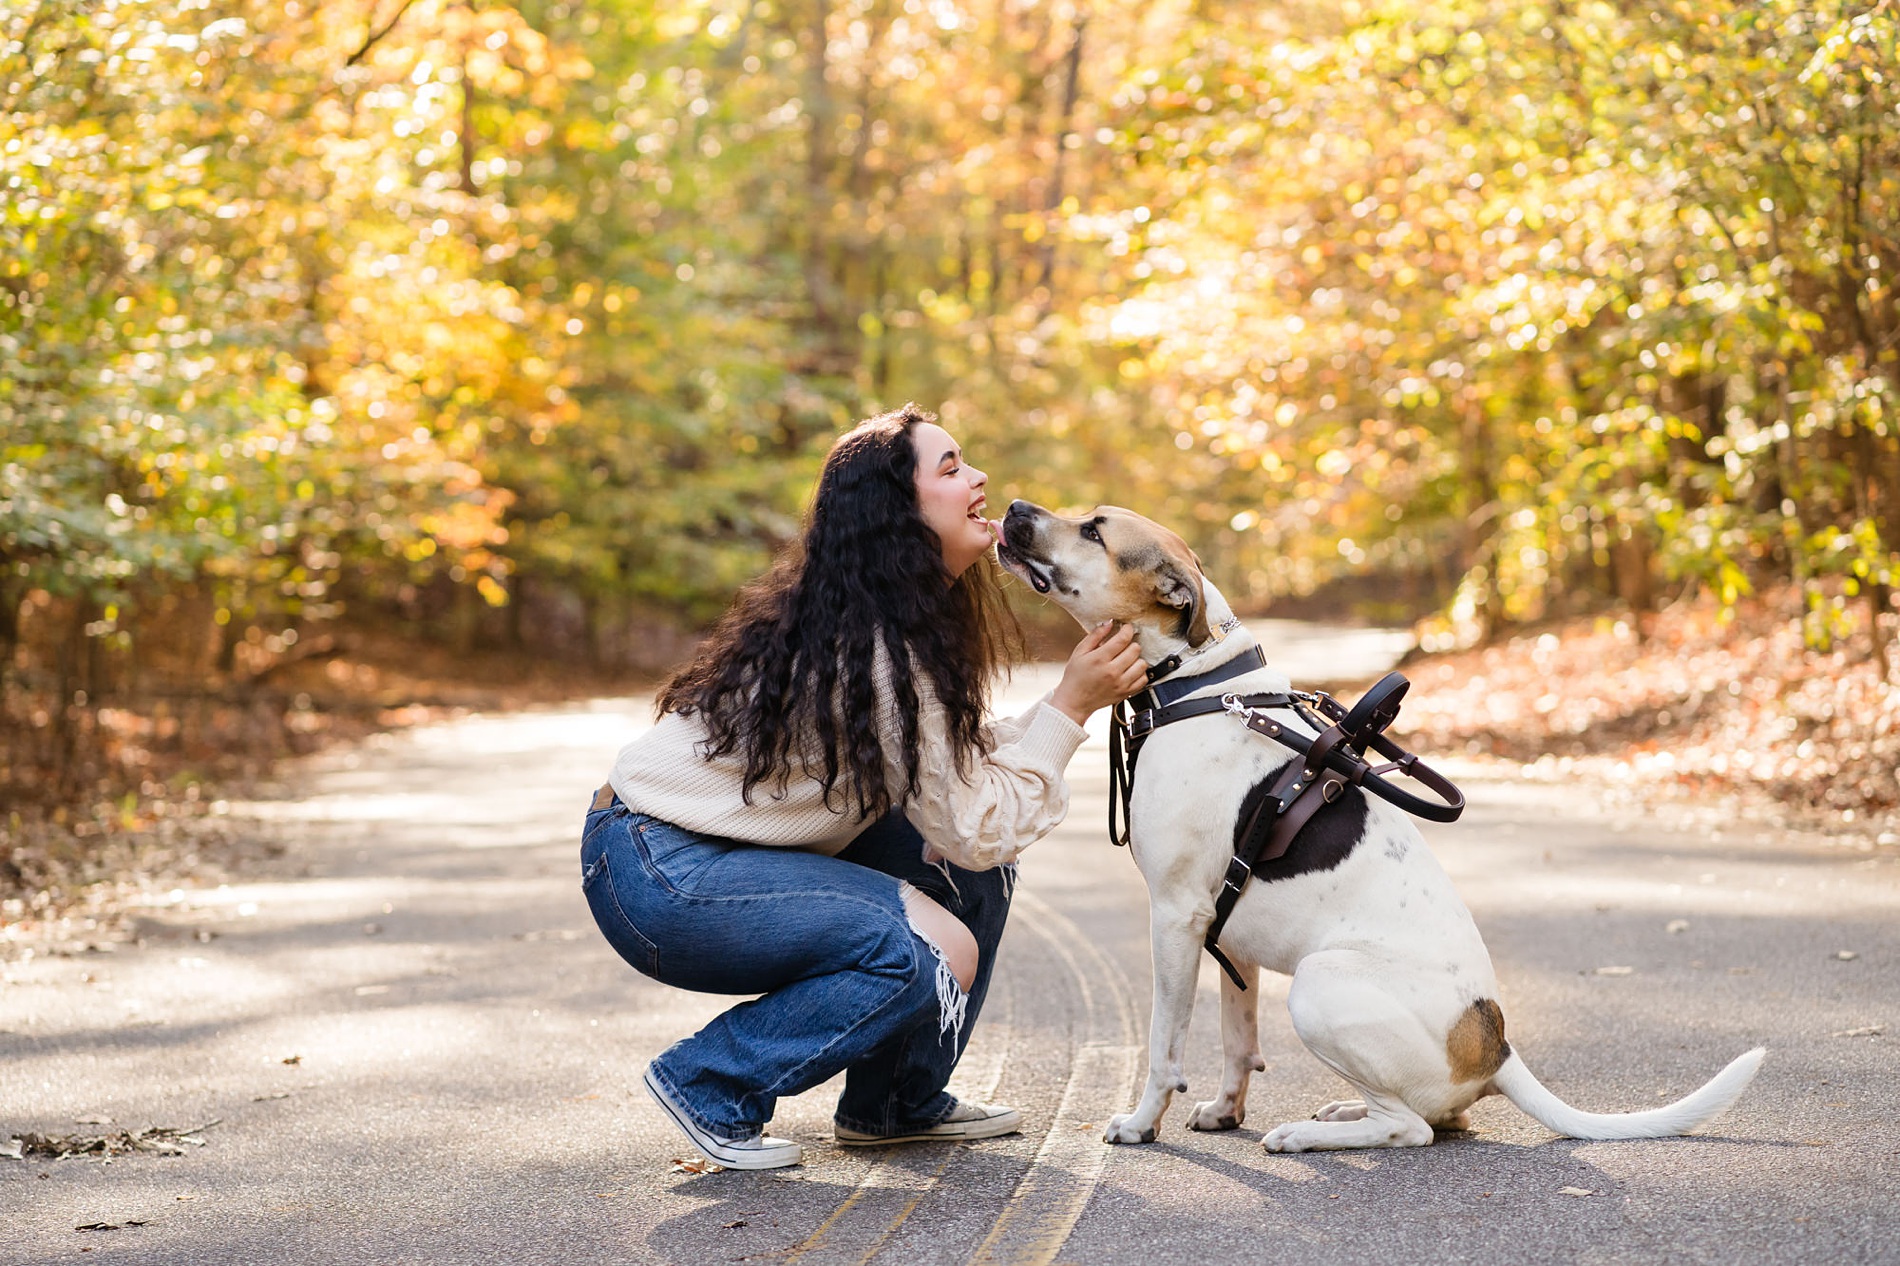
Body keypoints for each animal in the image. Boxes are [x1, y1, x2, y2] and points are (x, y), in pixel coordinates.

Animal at [995, 498, 1763, 1148]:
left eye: (1093, 530)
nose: (1013, 506)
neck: (1199, 686)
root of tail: (1495, 1046)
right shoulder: (1227, 937)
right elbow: (1238, 1040)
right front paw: (1224, 1110)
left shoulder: (1177, 919)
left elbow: (1165, 1045)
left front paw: (1140, 1123)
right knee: (1433, 1117)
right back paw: (1341, 1110)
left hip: (1318, 983)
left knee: (1410, 1129)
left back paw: (1310, 1134)